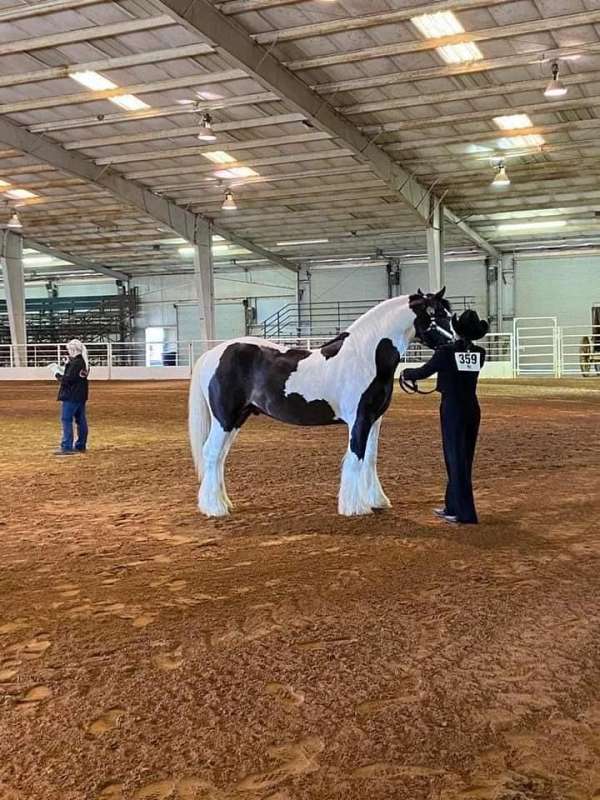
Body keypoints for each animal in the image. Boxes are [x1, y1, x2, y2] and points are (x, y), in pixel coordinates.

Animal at [190, 290, 452, 520]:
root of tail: (211, 354)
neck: (366, 357)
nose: (455, 343)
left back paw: (223, 503)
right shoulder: (359, 419)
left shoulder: (375, 419)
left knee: (219, 457)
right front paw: (355, 507)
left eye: (449, 315)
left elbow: (370, 458)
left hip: (237, 419)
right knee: (211, 453)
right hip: (225, 419)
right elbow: (355, 457)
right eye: (438, 316)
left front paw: (377, 500)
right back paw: (214, 508)